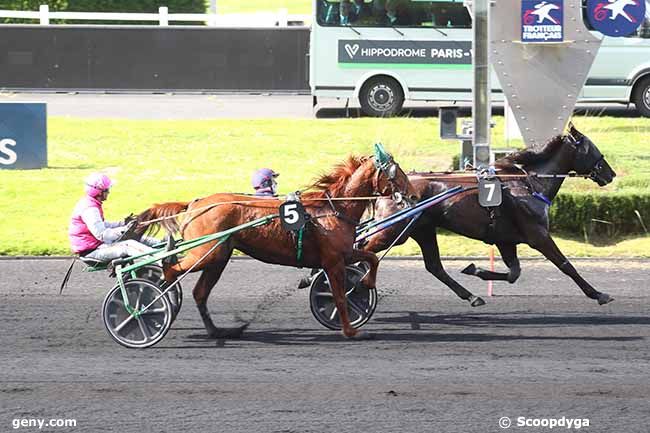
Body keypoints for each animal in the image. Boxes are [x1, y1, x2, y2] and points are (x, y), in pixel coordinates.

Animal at [135, 147, 418, 340]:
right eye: (396, 172)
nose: (414, 195)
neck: (332, 209)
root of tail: (194, 203)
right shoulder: (333, 260)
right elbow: (339, 296)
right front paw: (351, 330)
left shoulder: (344, 254)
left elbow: (370, 259)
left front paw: (365, 283)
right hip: (204, 253)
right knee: (172, 269)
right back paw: (157, 294)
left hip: (218, 257)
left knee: (199, 292)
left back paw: (217, 330)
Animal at [362, 125, 616, 306]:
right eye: (592, 148)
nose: (610, 173)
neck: (526, 183)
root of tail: (386, 188)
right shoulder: (538, 235)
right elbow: (566, 265)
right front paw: (599, 294)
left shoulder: (506, 239)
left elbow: (514, 273)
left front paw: (475, 270)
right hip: (393, 230)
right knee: (365, 250)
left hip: (422, 229)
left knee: (434, 266)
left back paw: (472, 297)